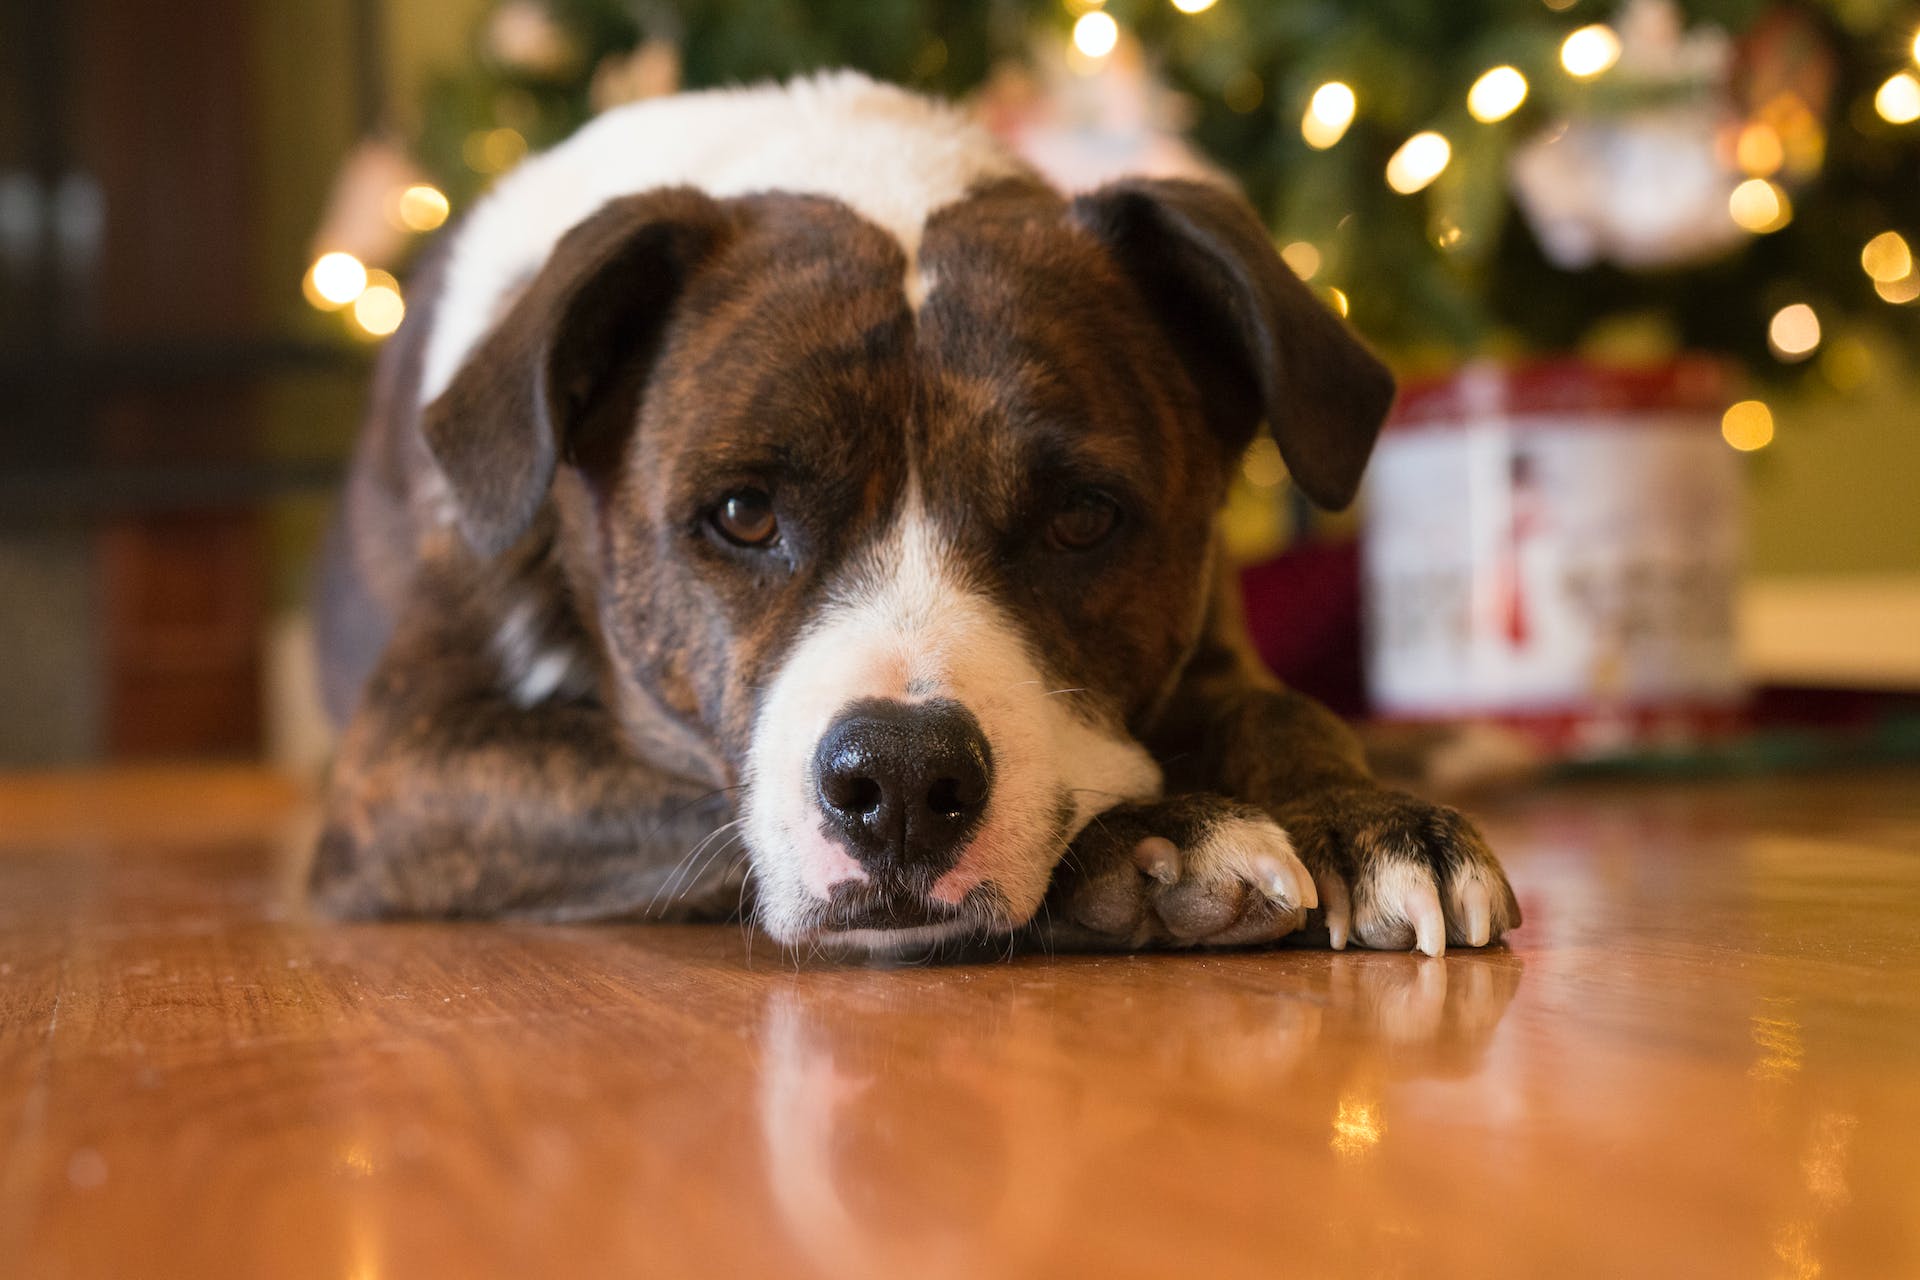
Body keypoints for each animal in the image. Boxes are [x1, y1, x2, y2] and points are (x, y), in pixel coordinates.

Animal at [311, 67, 1512, 951]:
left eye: (1083, 516)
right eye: (743, 512)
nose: (896, 777)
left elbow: (1282, 709)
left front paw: (1365, 820)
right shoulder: (404, 770)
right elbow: (698, 795)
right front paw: (1151, 840)